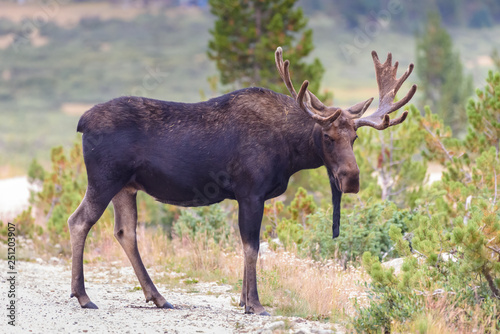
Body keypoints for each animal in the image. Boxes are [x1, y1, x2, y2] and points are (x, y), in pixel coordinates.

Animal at [68, 47, 416, 316]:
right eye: (328, 137)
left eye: (355, 137)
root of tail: (81, 122)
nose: (352, 178)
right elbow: (252, 246)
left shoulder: (245, 196)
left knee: (125, 232)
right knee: (79, 221)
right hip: (104, 179)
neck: (291, 152)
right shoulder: (251, 192)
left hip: (126, 187)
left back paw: (158, 297)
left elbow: (246, 246)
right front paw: (255, 304)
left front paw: (242, 300)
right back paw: (83, 296)